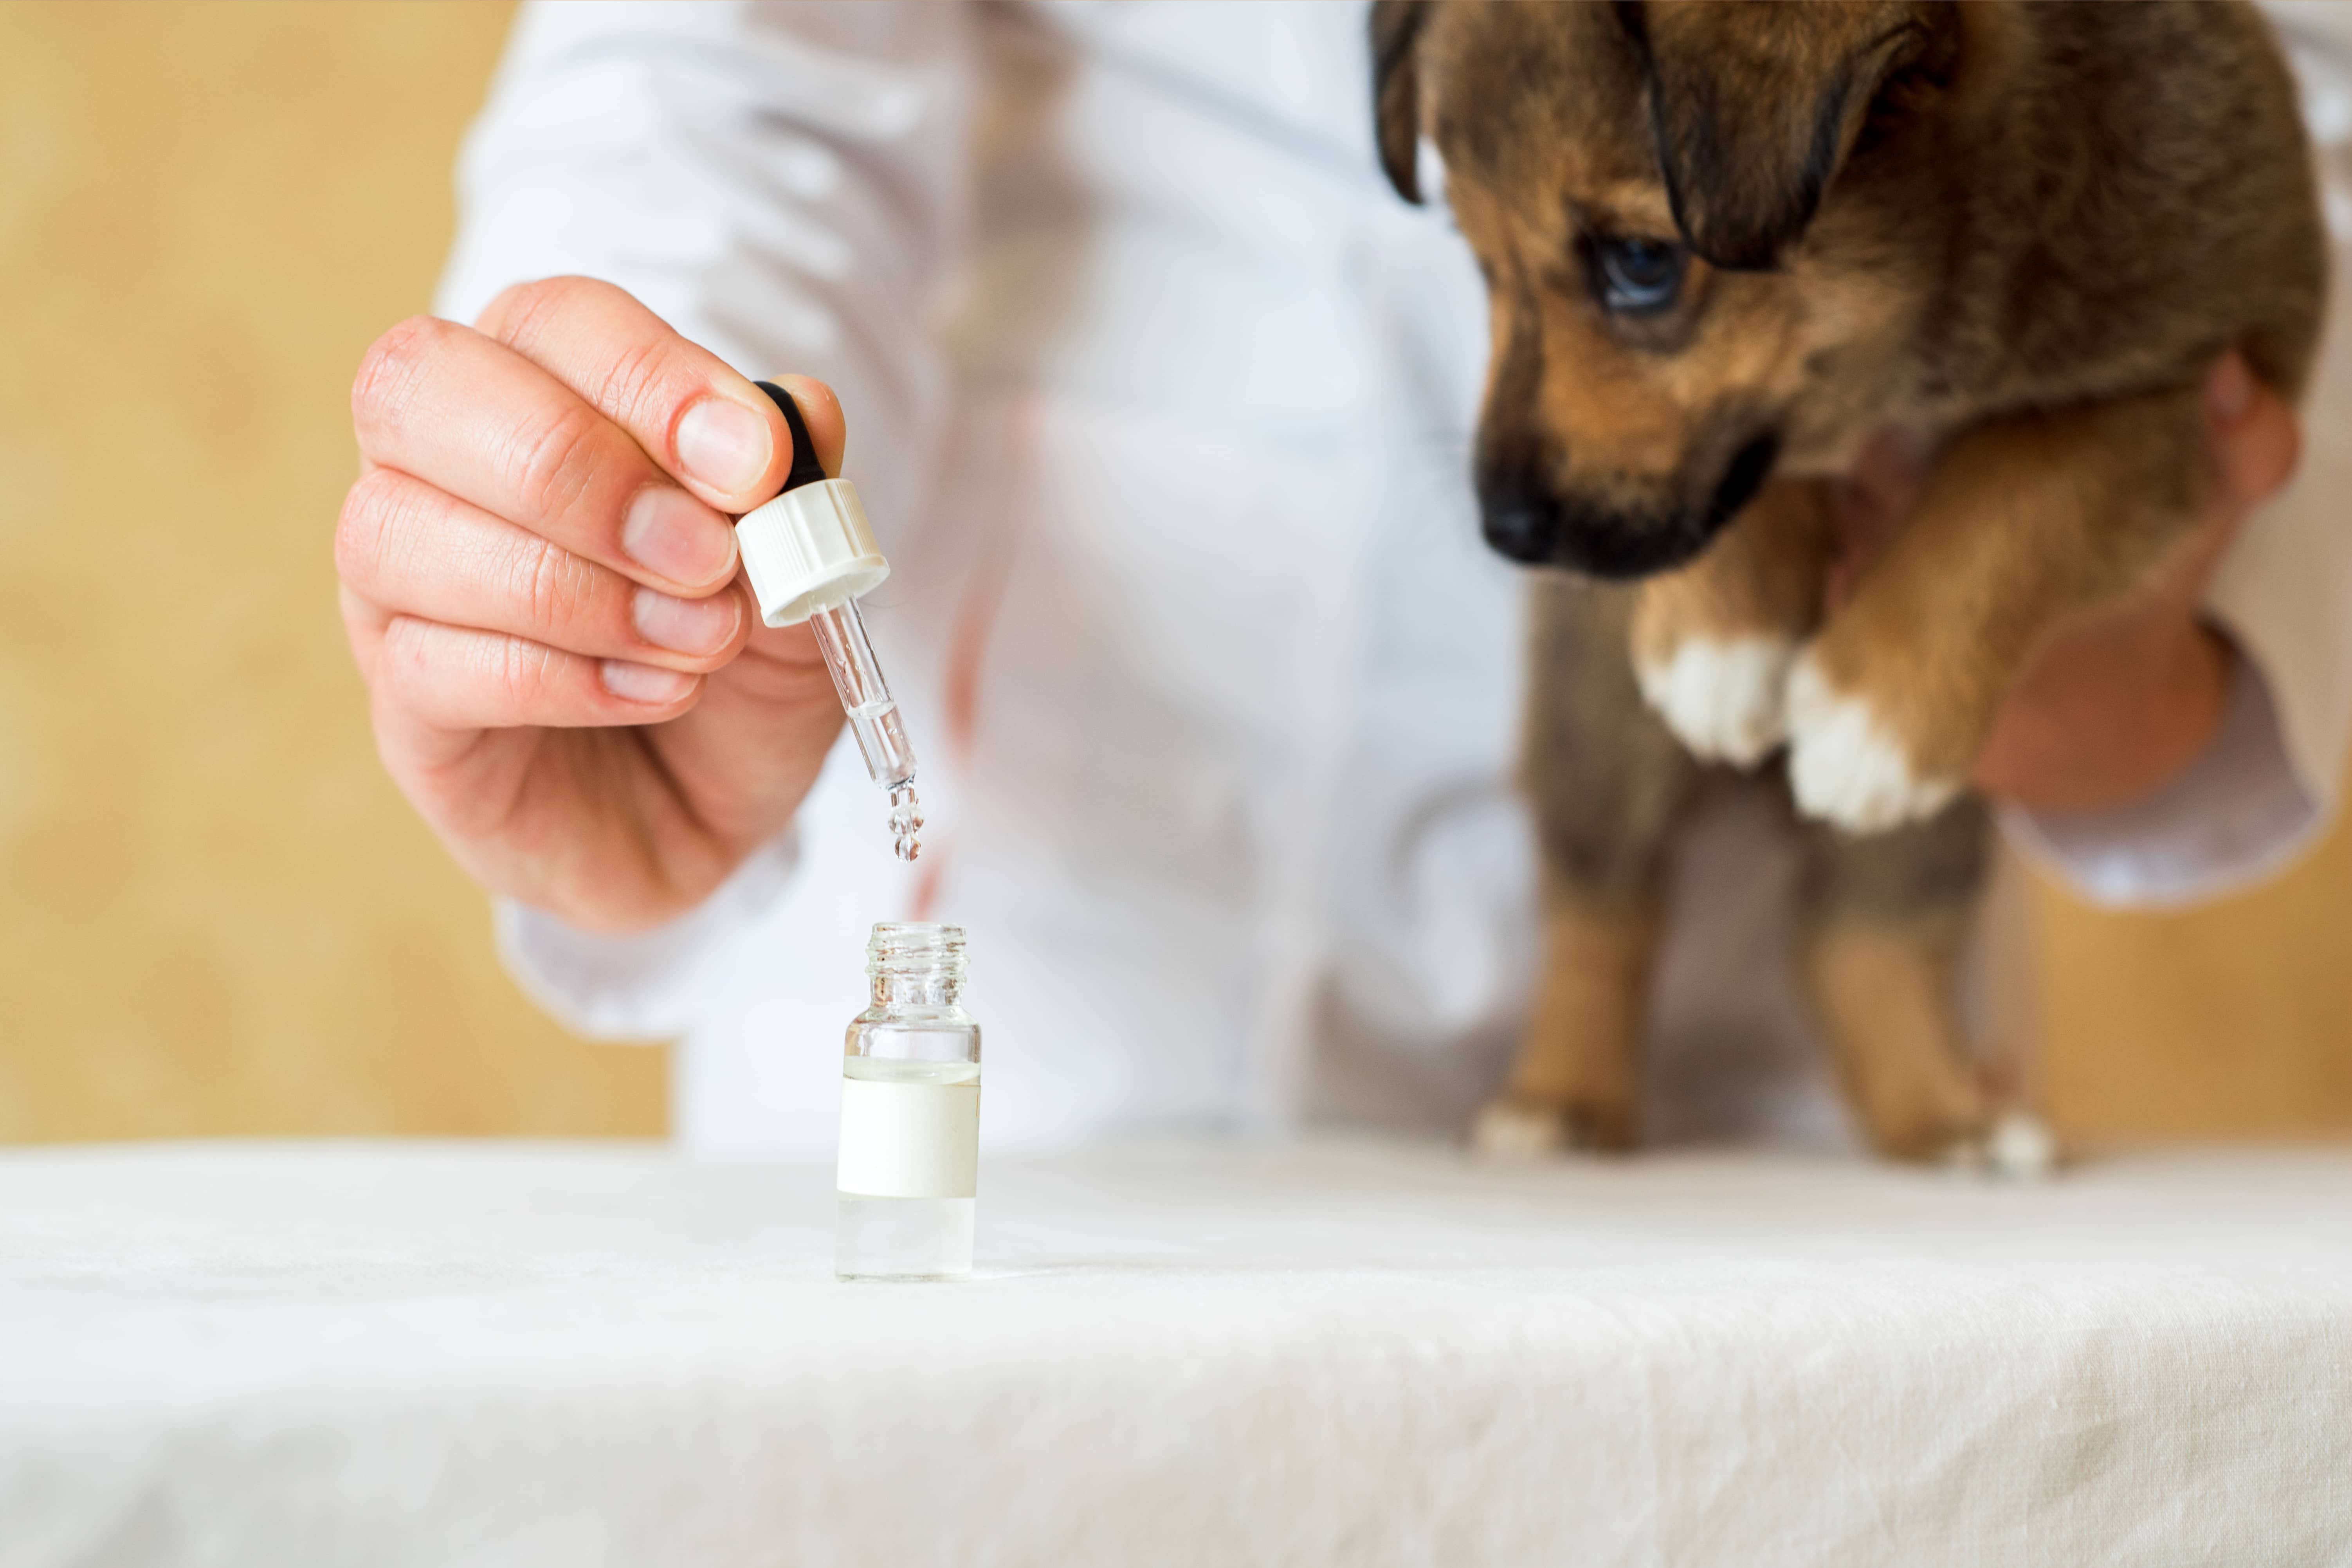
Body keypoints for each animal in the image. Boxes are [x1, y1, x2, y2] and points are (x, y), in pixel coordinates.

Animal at [1373, 0, 2323, 1166]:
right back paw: (1559, 1099)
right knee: (1601, 905)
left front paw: (1878, 708)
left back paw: (1946, 1117)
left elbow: (2024, 481)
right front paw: (1726, 634)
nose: (1505, 532)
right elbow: (1759, 465)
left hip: (1928, 824)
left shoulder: (2204, 369)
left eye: (1641, 262)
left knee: (1855, 941)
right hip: (1595, 705)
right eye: (1479, 263)